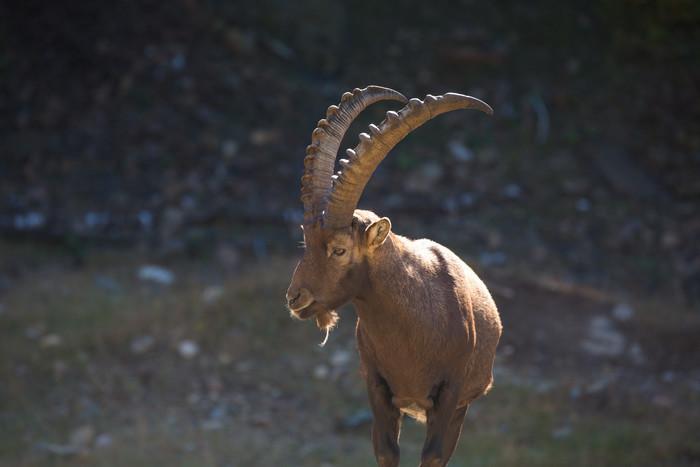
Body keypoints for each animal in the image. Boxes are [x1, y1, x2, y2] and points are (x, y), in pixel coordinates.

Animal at [288, 86, 500, 466]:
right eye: (306, 240)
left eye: (339, 249)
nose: (295, 298)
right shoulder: (377, 386)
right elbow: (386, 451)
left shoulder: (450, 392)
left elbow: (433, 455)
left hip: (462, 405)